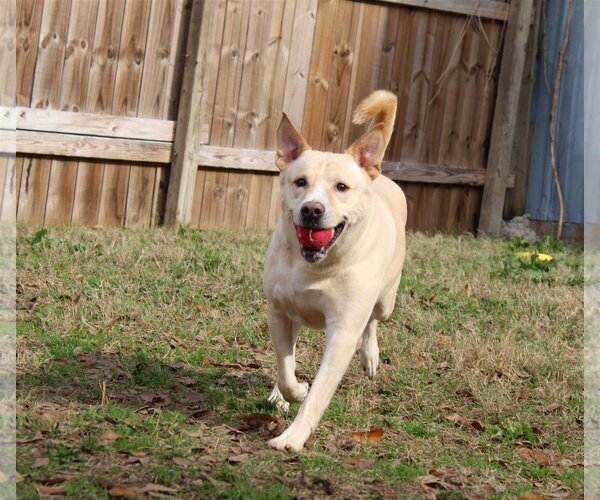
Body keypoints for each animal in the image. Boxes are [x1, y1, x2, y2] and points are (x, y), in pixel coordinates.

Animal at [264, 90, 408, 454]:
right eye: (300, 182)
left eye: (341, 187)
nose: (312, 210)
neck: (315, 266)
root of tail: (378, 175)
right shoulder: (279, 311)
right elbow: (286, 366)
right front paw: (291, 390)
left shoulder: (342, 332)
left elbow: (318, 394)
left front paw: (292, 438)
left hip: (386, 300)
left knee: (373, 320)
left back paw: (370, 356)